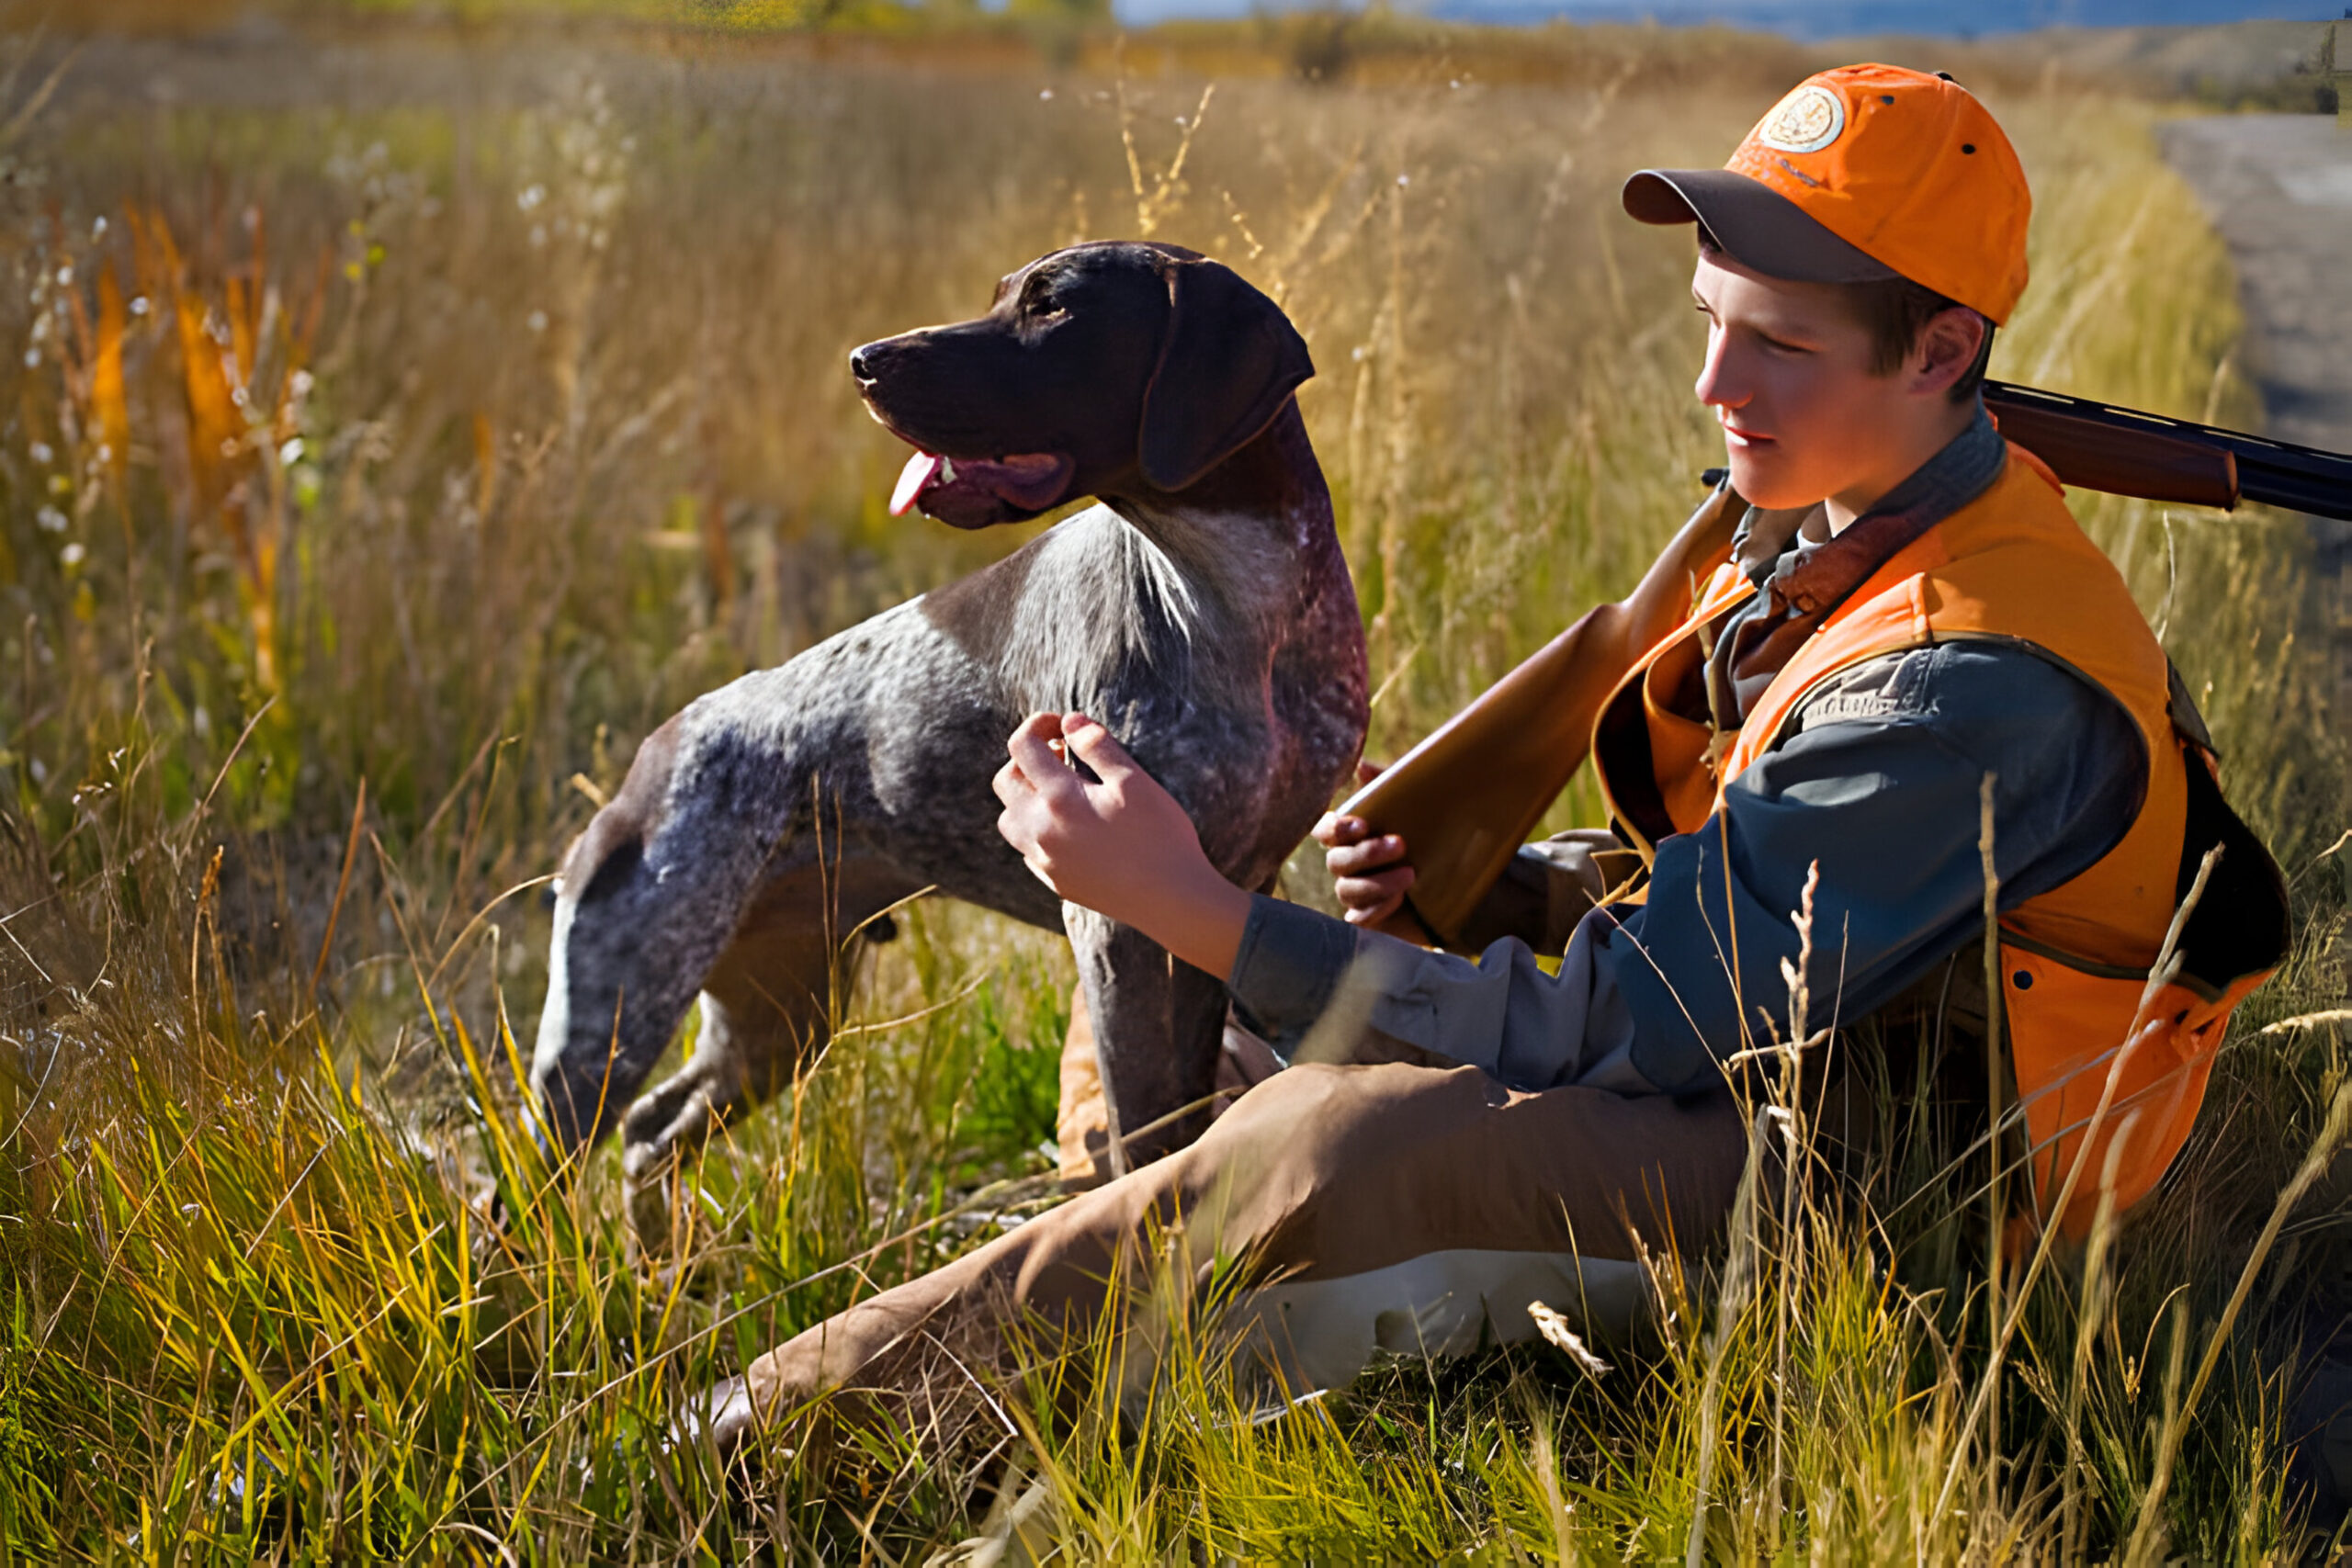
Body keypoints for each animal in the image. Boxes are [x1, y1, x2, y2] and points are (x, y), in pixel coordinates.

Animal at [529, 242, 1374, 1241]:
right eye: (1004, 296)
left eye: (1054, 308)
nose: (863, 361)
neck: (1241, 611)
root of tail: (658, 748)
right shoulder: (1115, 929)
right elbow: (1148, 1140)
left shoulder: (1219, 903)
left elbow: (1183, 1116)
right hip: (606, 1030)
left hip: (778, 1018)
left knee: (654, 1132)